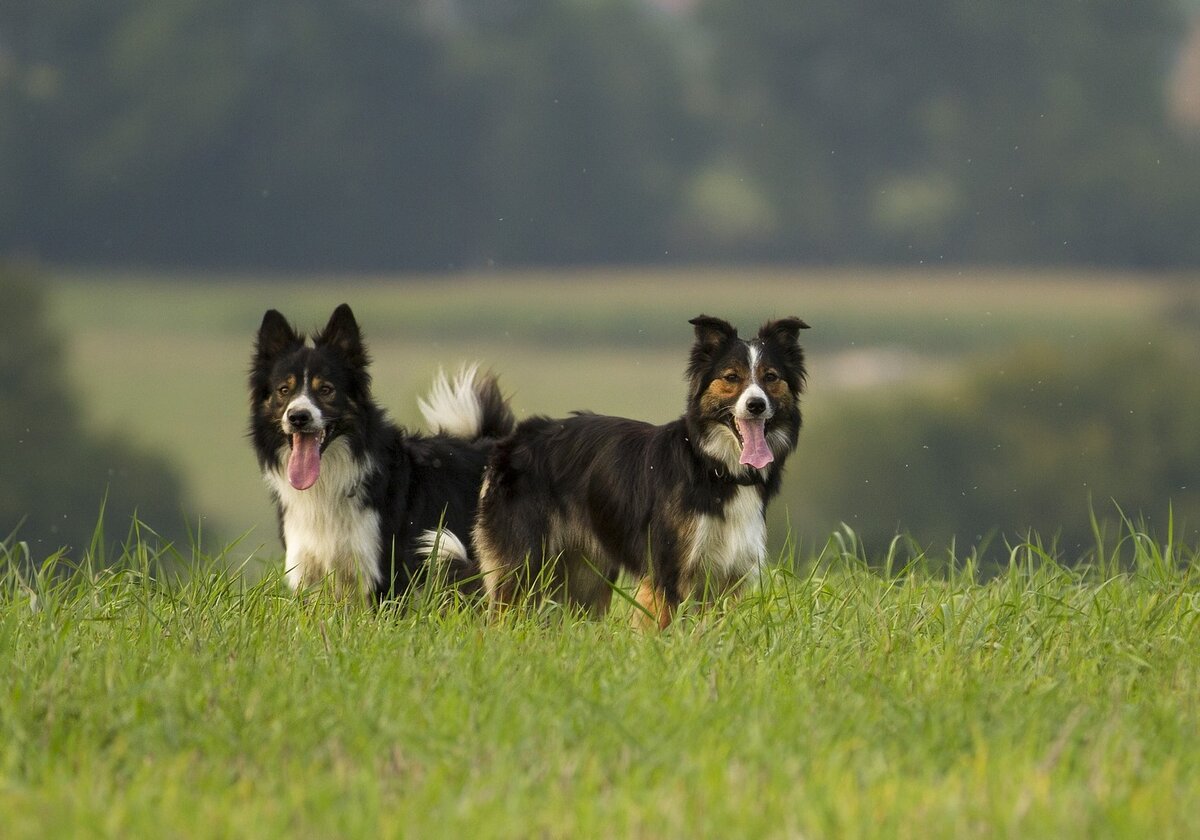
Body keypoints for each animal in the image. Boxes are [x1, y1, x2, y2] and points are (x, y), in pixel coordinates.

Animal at [248, 304, 516, 600]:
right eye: (284, 390)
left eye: (326, 390)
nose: (298, 417)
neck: (331, 478)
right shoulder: (308, 576)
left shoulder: (385, 576)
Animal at [472, 314, 811, 628]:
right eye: (731, 377)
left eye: (771, 377)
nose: (756, 404)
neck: (712, 466)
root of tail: (513, 438)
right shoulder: (667, 572)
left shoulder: (725, 579)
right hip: (525, 565)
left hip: (585, 577)